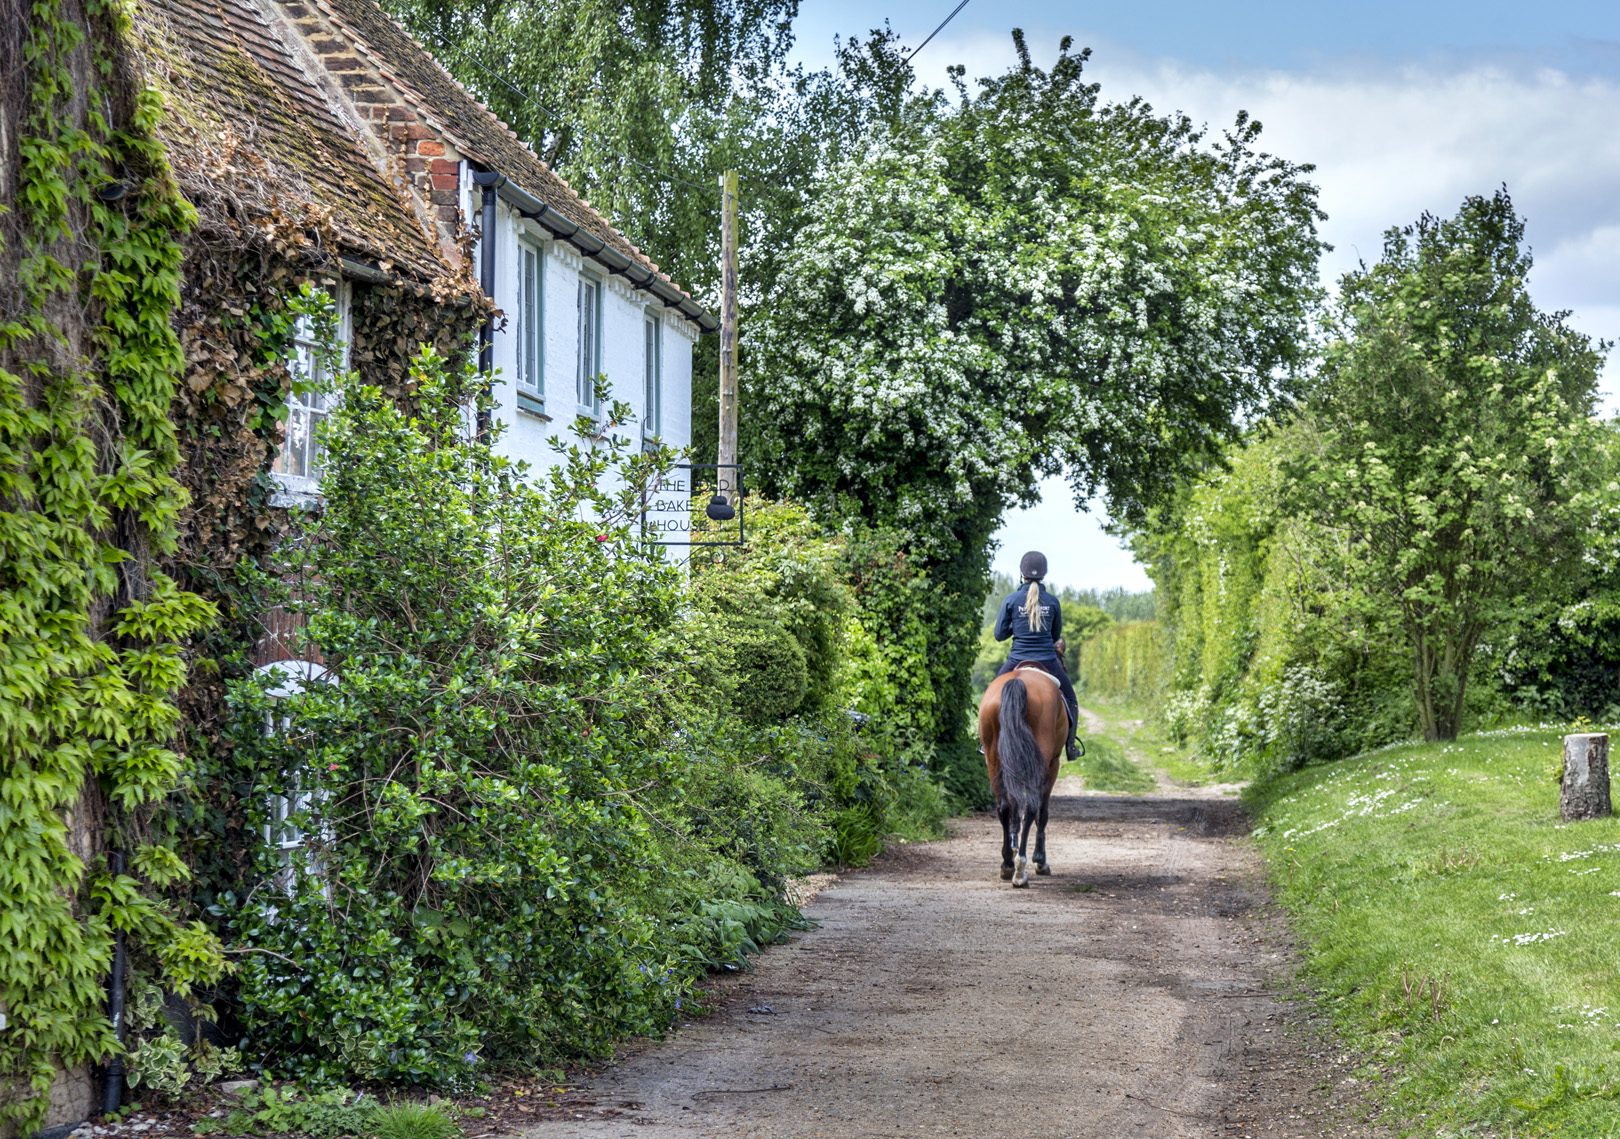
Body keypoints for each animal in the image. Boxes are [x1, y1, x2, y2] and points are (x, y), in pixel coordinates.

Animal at [977, 665, 1070, 887]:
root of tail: (1018, 681)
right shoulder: (1053, 765)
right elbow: (1042, 813)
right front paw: (1041, 861)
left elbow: (1013, 810)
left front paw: (1012, 847)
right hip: (1041, 760)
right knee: (1031, 808)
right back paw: (1021, 870)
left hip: (993, 758)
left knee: (1004, 807)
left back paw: (1008, 865)